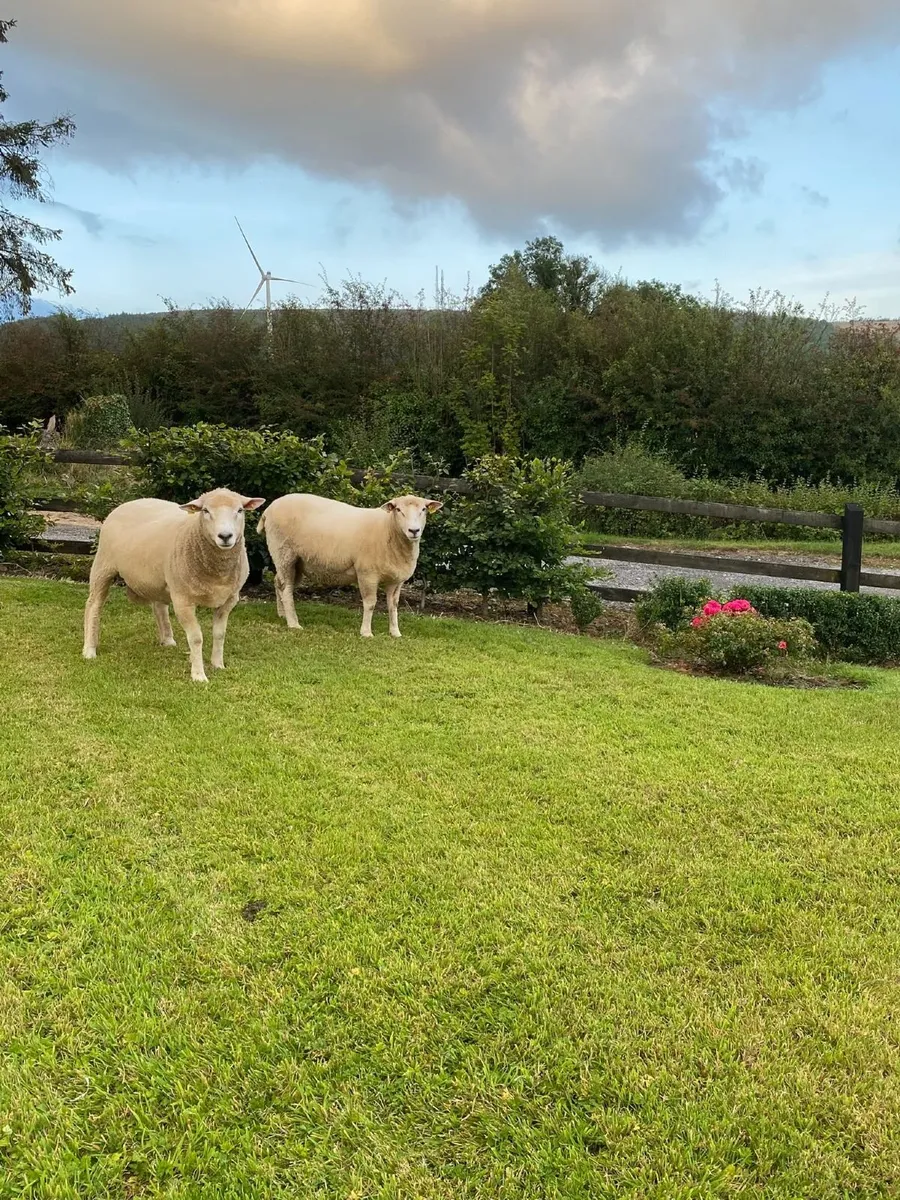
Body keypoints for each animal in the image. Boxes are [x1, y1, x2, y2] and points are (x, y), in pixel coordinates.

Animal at [82, 488, 265, 682]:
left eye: (240, 510)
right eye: (205, 511)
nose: (225, 536)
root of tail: (128, 503)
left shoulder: (229, 599)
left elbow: (220, 634)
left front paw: (218, 664)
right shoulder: (183, 600)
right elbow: (196, 638)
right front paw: (199, 675)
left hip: (156, 578)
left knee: (158, 606)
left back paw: (168, 640)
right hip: (103, 565)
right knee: (93, 605)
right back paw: (89, 649)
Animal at [258, 493, 443, 638]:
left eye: (424, 509)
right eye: (398, 510)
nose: (414, 531)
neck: (388, 529)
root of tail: (269, 509)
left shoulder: (396, 581)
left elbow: (393, 606)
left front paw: (395, 632)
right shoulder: (367, 573)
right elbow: (370, 603)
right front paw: (366, 632)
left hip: (296, 562)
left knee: (278, 582)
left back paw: (282, 614)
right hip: (283, 552)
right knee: (286, 588)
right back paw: (293, 623)